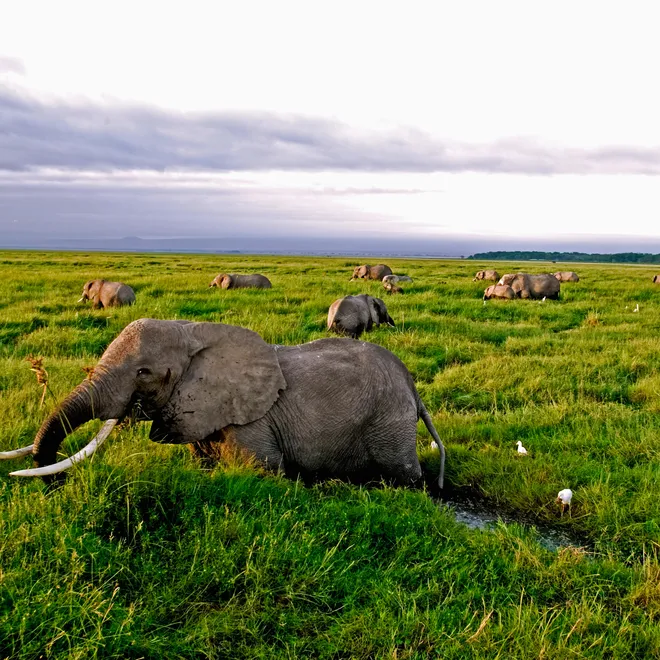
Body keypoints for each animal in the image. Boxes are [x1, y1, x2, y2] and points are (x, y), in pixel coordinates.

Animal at [2, 319, 445, 489]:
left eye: (144, 372)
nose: (58, 486)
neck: (193, 332)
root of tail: (412, 386)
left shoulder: (253, 423)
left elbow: (263, 470)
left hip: (388, 422)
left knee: (404, 475)